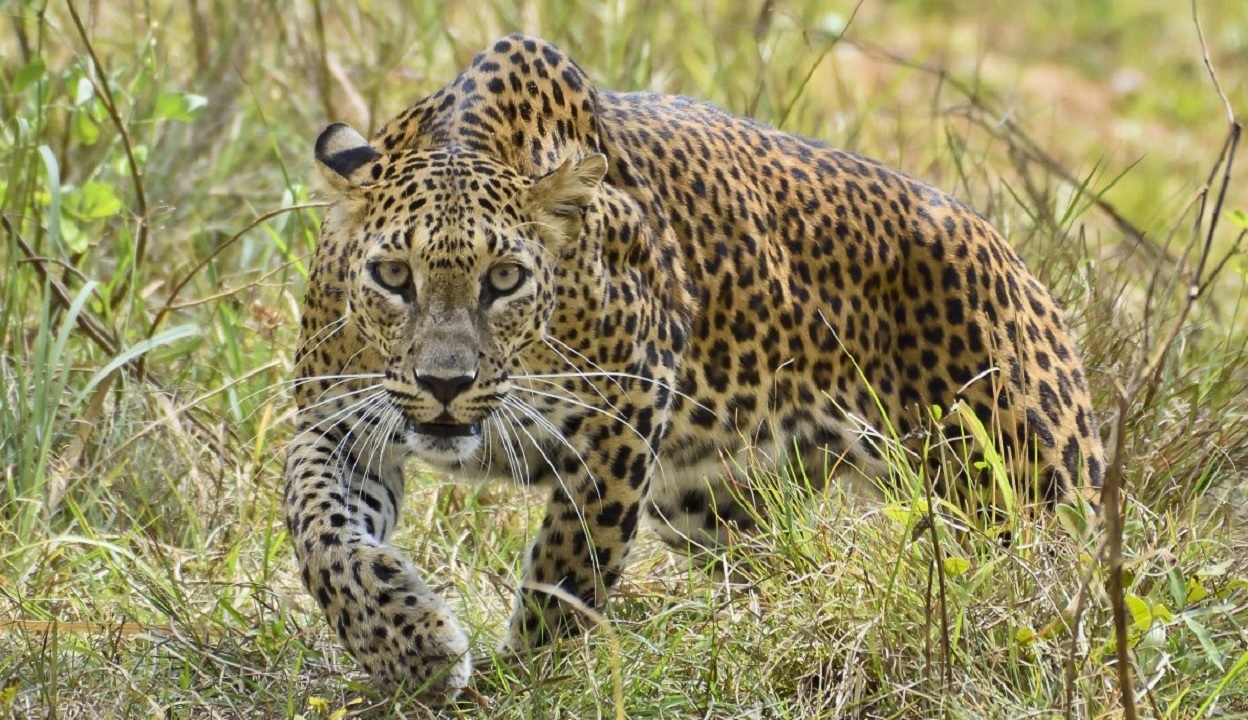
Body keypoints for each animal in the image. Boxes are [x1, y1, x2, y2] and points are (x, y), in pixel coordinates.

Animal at [283, 33, 1103, 703]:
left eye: (505, 279)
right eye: (393, 276)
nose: (445, 386)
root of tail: (1009, 253)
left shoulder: (623, 417)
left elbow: (569, 569)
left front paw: (522, 680)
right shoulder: (336, 420)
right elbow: (319, 531)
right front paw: (409, 647)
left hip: (1024, 487)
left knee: (1062, 586)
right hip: (716, 502)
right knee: (783, 564)